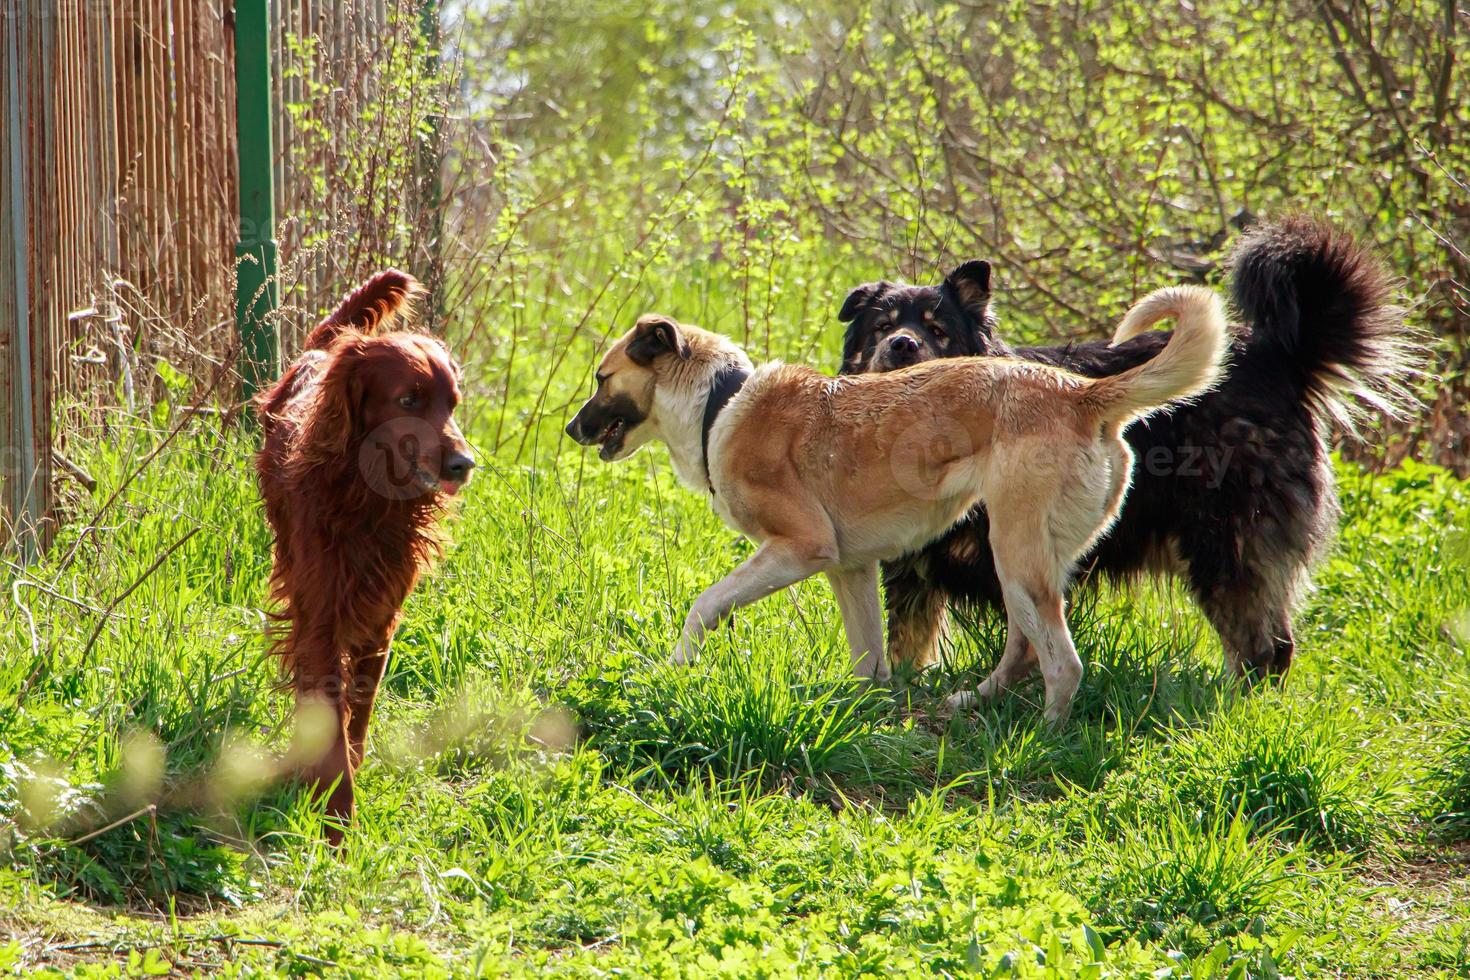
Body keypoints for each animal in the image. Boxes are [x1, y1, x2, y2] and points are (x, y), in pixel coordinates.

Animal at [252, 270, 470, 846]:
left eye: (452, 403)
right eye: (409, 399)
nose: (464, 464)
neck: (367, 501)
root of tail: (324, 348)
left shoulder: (382, 614)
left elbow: (359, 705)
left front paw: (348, 770)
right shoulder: (322, 614)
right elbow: (330, 706)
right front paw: (336, 816)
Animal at [564, 287, 1228, 725]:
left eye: (601, 378)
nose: (570, 429)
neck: (718, 403)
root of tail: (1083, 393)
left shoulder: (800, 548)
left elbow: (704, 605)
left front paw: (672, 671)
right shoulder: (850, 568)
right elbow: (869, 660)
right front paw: (860, 713)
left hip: (1015, 553)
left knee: (1064, 664)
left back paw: (1041, 740)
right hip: (1027, 561)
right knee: (1024, 648)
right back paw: (972, 704)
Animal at [846, 218, 1417, 687]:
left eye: (937, 330)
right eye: (882, 326)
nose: (902, 345)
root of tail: (1282, 359)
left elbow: (1029, 641)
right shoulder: (912, 570)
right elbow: (907, 644)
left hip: (1225, 543)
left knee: (1264, 647)